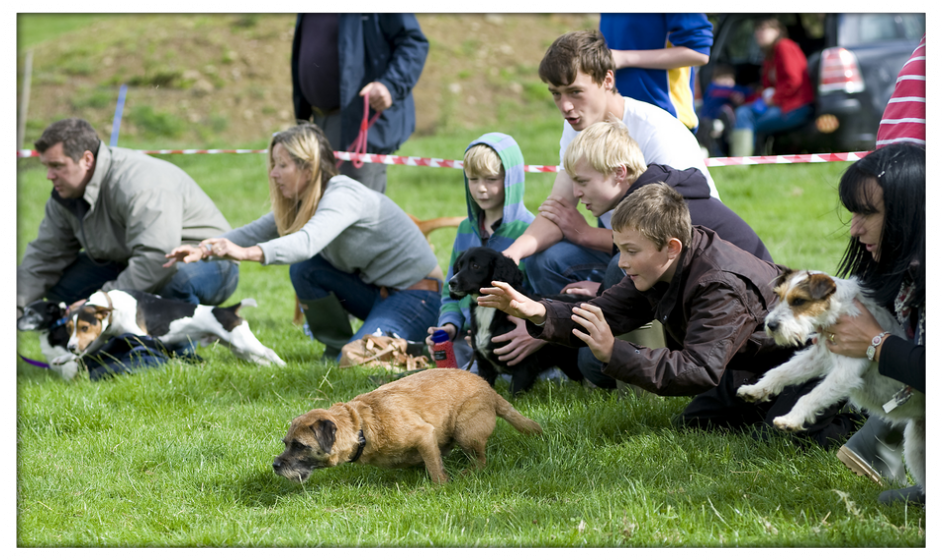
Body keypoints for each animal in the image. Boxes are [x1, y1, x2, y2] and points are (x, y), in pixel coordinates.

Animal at [68, 288, 286, 368]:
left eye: (84, 327)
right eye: (69, 328)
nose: (70, 346)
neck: (112, 303)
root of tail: (228, 309)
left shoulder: (138, 335)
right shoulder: (101, 337)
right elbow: (87, 349)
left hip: (243, 341)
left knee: (269, 351)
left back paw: (283, 366)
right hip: (237, 348)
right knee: (259, 359)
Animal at [272, 370, 540, 484]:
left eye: (299, 446)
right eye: (286, 443)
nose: (275, 465)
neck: (363, 427)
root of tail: (490, 391)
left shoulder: (424, 434)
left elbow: (435, 471)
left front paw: (440, 486)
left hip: (466, 431)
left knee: (481, 459)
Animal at [446, 245, 588, 394]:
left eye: (475, 265)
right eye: (459, 266)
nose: (451, 282)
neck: (488, 311)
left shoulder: (525, 365)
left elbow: (513, 393)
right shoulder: (485, 366)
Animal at [736, 270, 928, 492]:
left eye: (799, 300)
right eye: (779, 296)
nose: (770, 325)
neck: (838, 311)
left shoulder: (845, 372)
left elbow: (809, 397)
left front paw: (790, 420)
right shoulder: (817, 357)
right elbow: (779, 372)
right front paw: (755, 390)